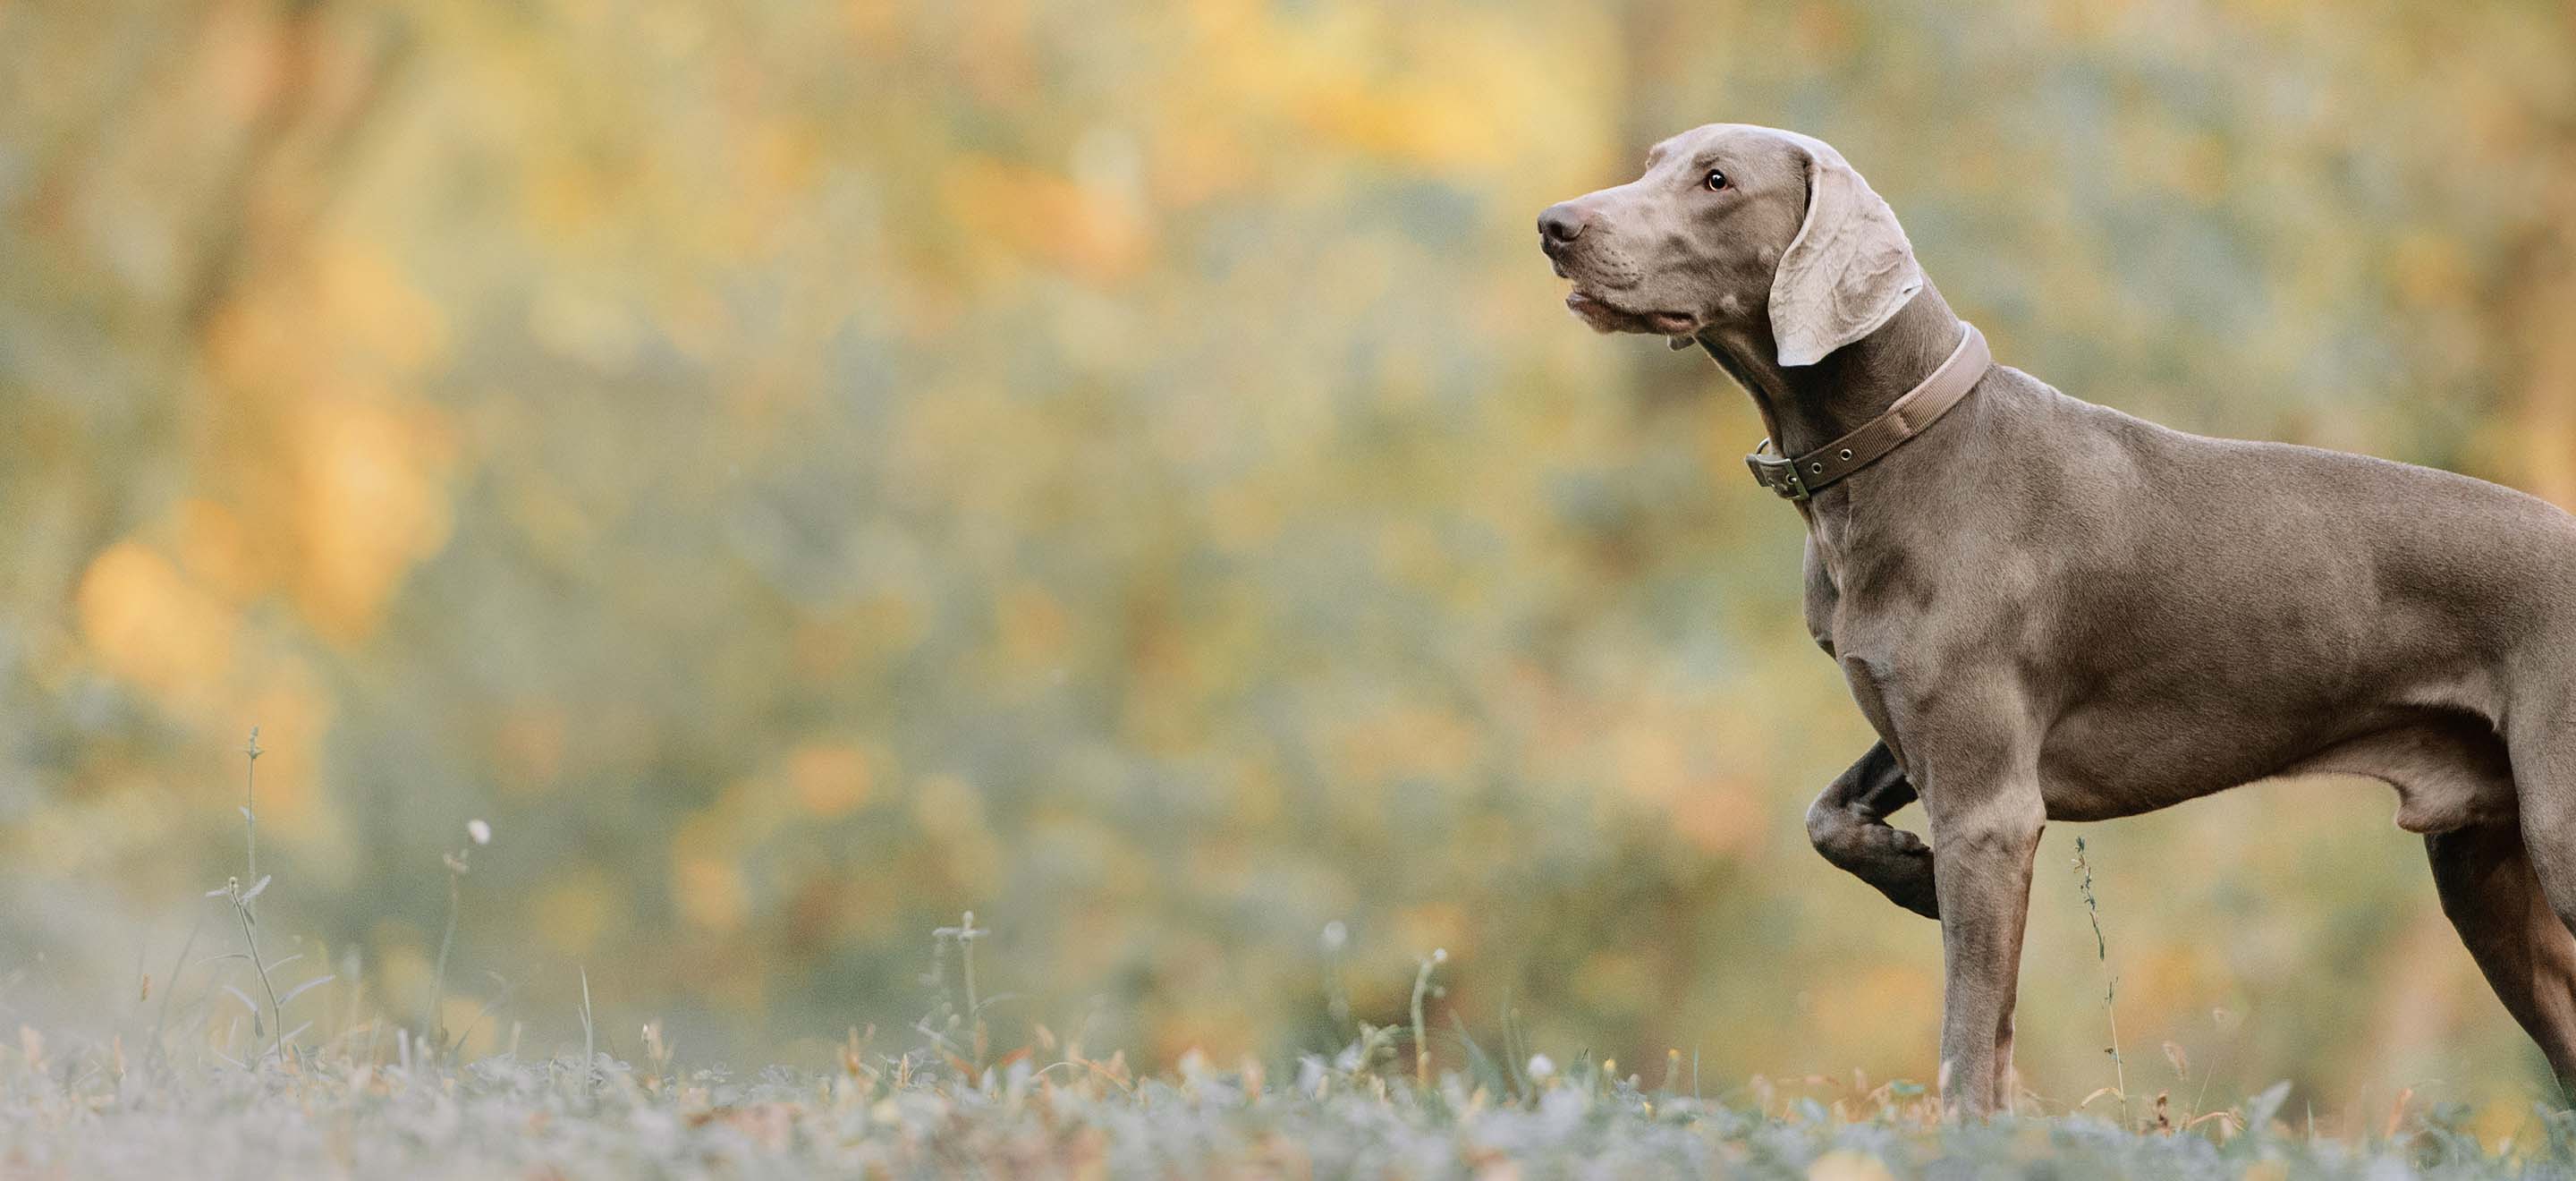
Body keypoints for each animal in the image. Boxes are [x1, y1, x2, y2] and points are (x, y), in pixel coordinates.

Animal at [1535, 124, 2576, 1114]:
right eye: (1654, 163)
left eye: (1716, 181)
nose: (1554, 224)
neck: (1896, 449)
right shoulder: (1918, 728)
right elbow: (1825, 816)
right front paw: (1907, 872)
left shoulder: (1990, 806)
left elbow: (1967, 1033)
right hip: (2482, 864)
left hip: (2557, 829)